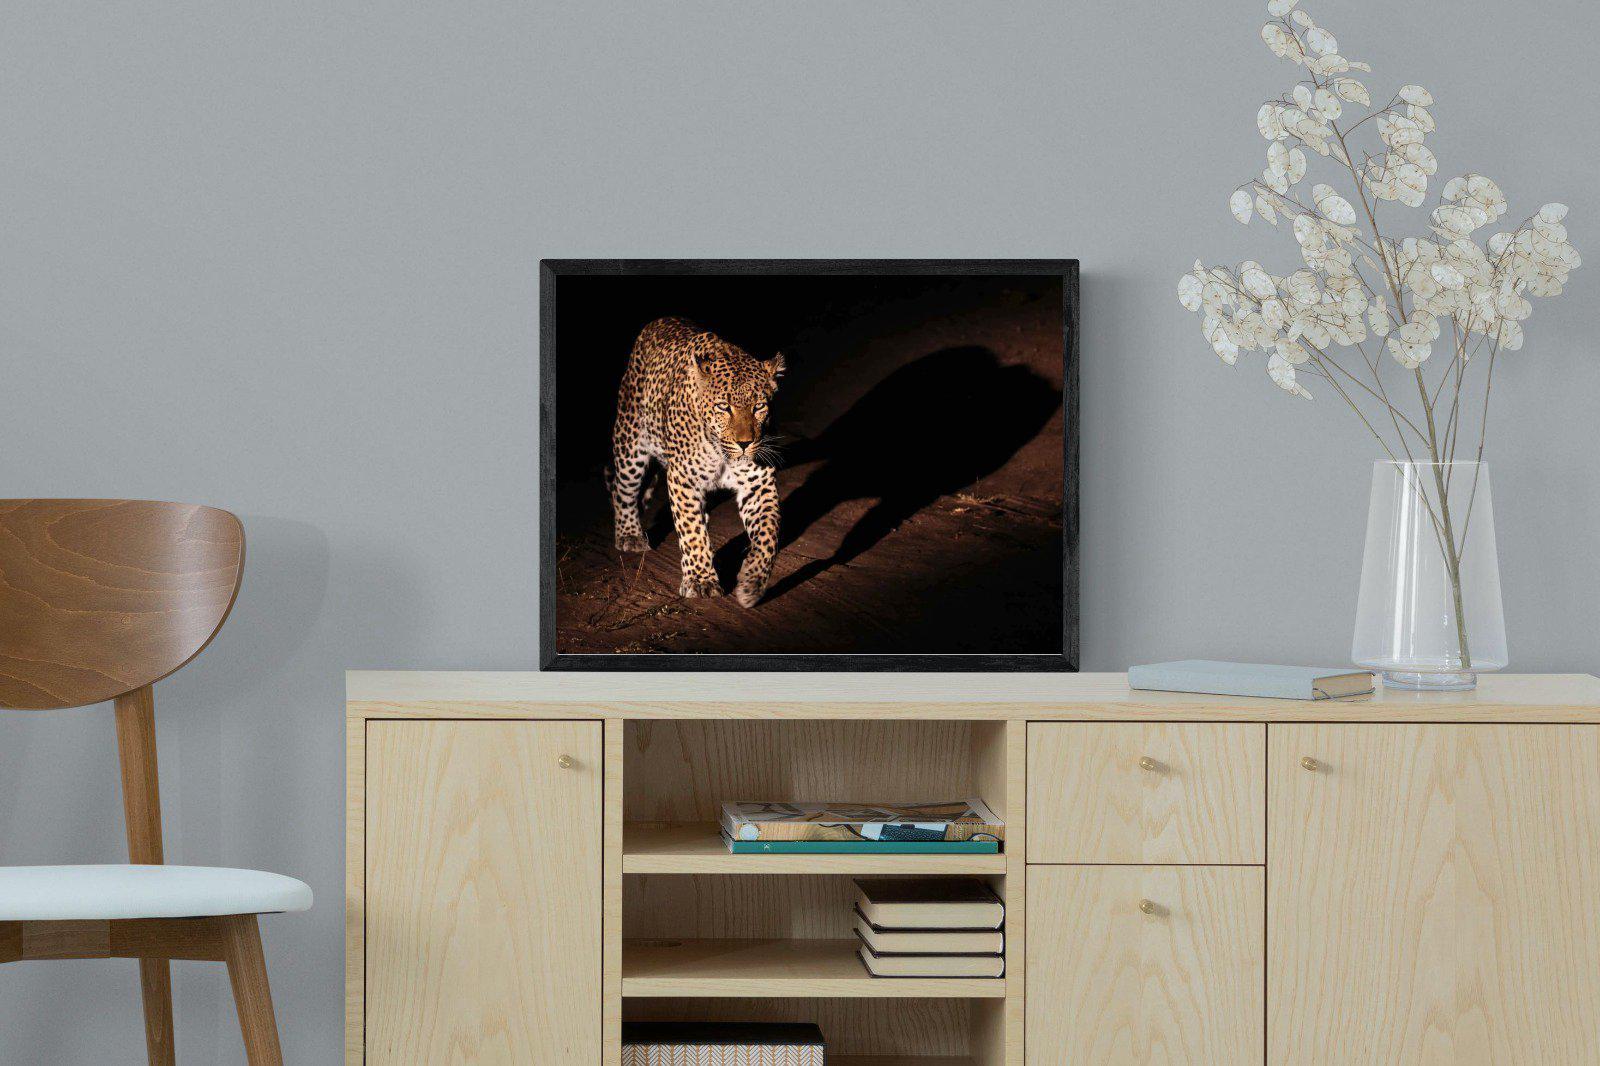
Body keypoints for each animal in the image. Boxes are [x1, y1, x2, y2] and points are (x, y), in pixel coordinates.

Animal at [609, 316, 784, 607]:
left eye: (759, 407)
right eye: (724, 407)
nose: (745, 443)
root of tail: (659, 320)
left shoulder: (758, 483)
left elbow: (768, 534)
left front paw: (752, 582)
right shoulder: (683, 479)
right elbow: (691, 531)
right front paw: (701, 581)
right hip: (630, 444)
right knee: (622, 491)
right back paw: (629, 535)